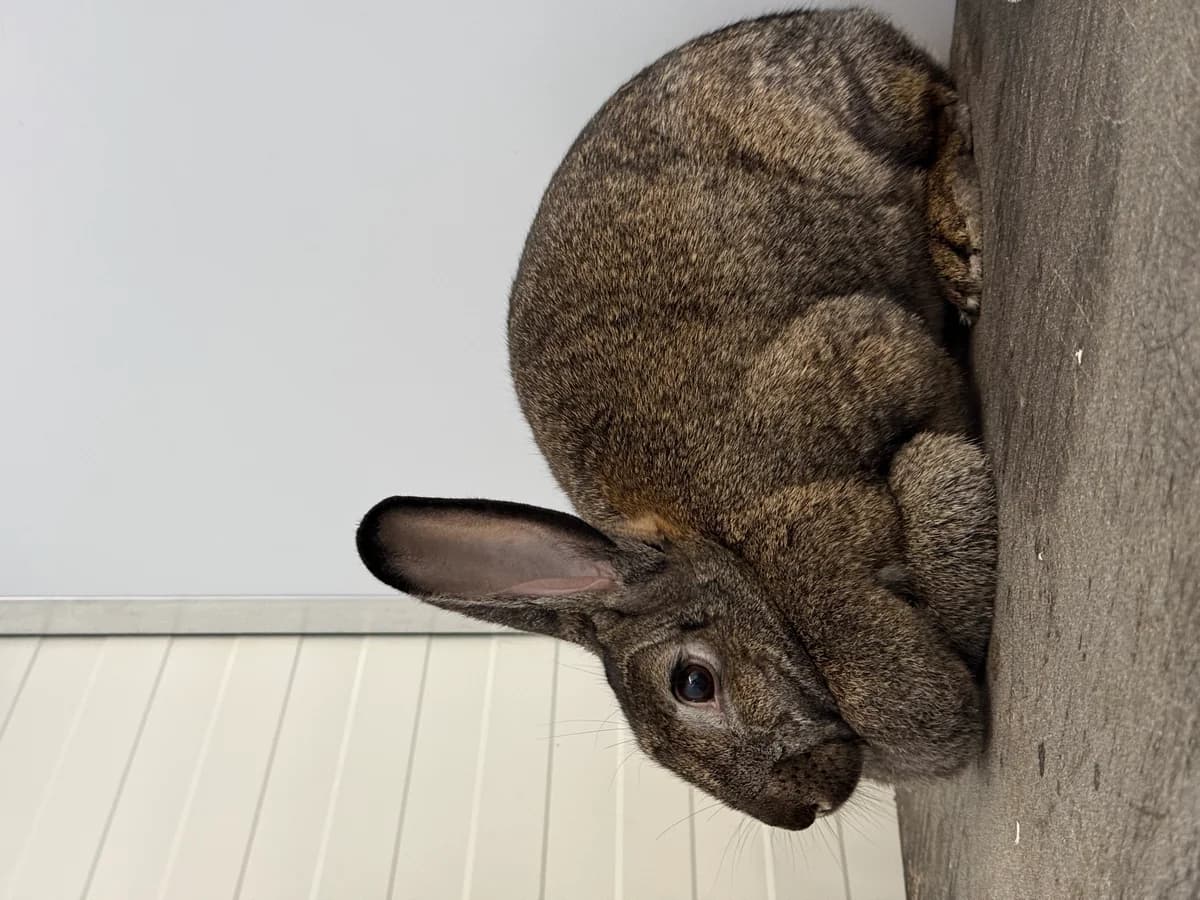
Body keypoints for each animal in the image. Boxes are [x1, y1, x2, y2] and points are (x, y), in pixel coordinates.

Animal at [357, 8, 995, 831]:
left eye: (692, 684)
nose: (803, 809)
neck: (721, 547)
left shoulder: (859, 358)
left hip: (863, 110)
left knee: (939, 107)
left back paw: (957, 246)